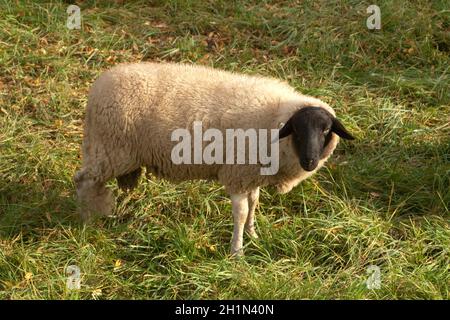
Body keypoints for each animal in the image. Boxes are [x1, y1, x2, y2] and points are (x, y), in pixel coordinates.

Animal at [74, 63, 356, 258]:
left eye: (326, 130)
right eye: (297, 130)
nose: (310, 161)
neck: (275, 115)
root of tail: (97, 88)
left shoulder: (251, 174)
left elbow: (254, 203)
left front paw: (253, 233)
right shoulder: (237, 174)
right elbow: (241, 213)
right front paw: (237, 251)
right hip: (111, 150)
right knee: (84, 180)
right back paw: (87, 218)